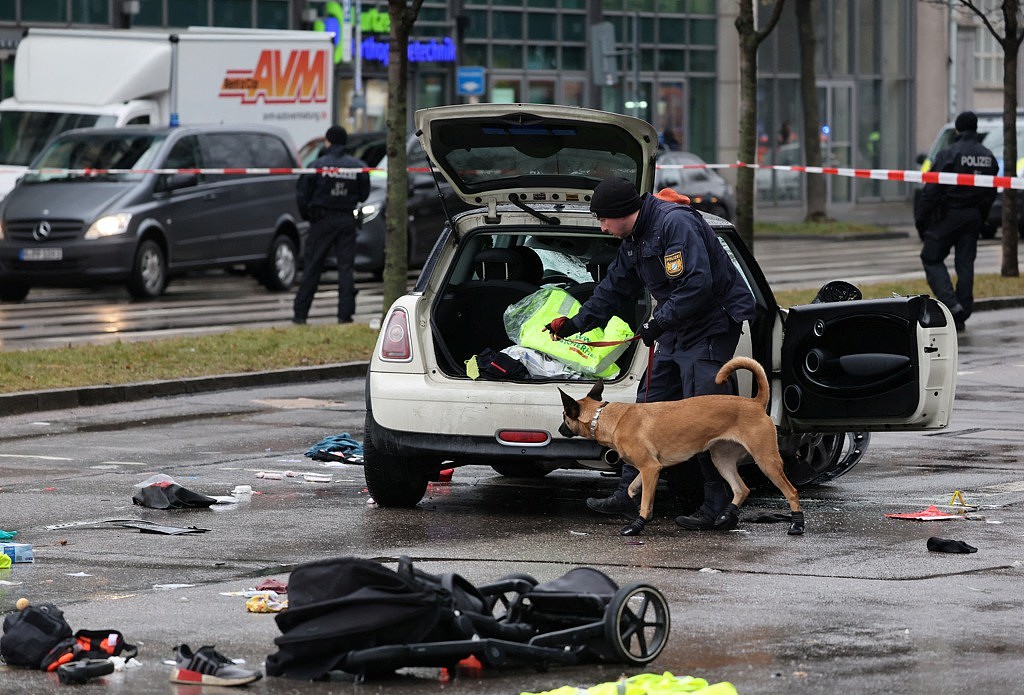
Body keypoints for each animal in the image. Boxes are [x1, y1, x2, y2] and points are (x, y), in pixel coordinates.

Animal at [557, 358, 802, 536]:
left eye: (564, 417)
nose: (560, 429)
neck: (606, 416)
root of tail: (755, 403)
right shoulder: (650, 470)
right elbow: (633, 488)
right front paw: (636, 505)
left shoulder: (650, 468)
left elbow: (644, 501)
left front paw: (637, 525)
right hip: (721, 459)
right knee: (742, 489)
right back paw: (725, 516)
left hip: (766, 460)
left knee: (791, 491)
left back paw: (797, 525)